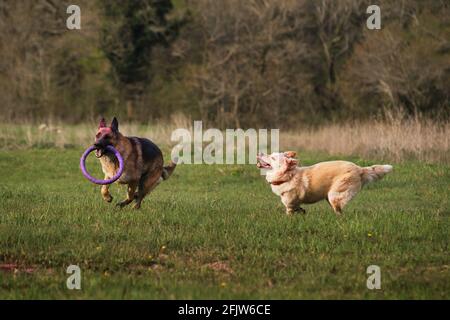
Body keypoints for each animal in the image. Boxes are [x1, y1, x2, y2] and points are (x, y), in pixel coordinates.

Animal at [256, 151, 394, 215]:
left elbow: (289, 212)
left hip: (333, 195)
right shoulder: (295, 204)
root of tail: (359, 168)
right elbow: (300, 209)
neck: (288, 176)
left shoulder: (290, 205)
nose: (259, 152)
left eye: (272, 157)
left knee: (339, 211)